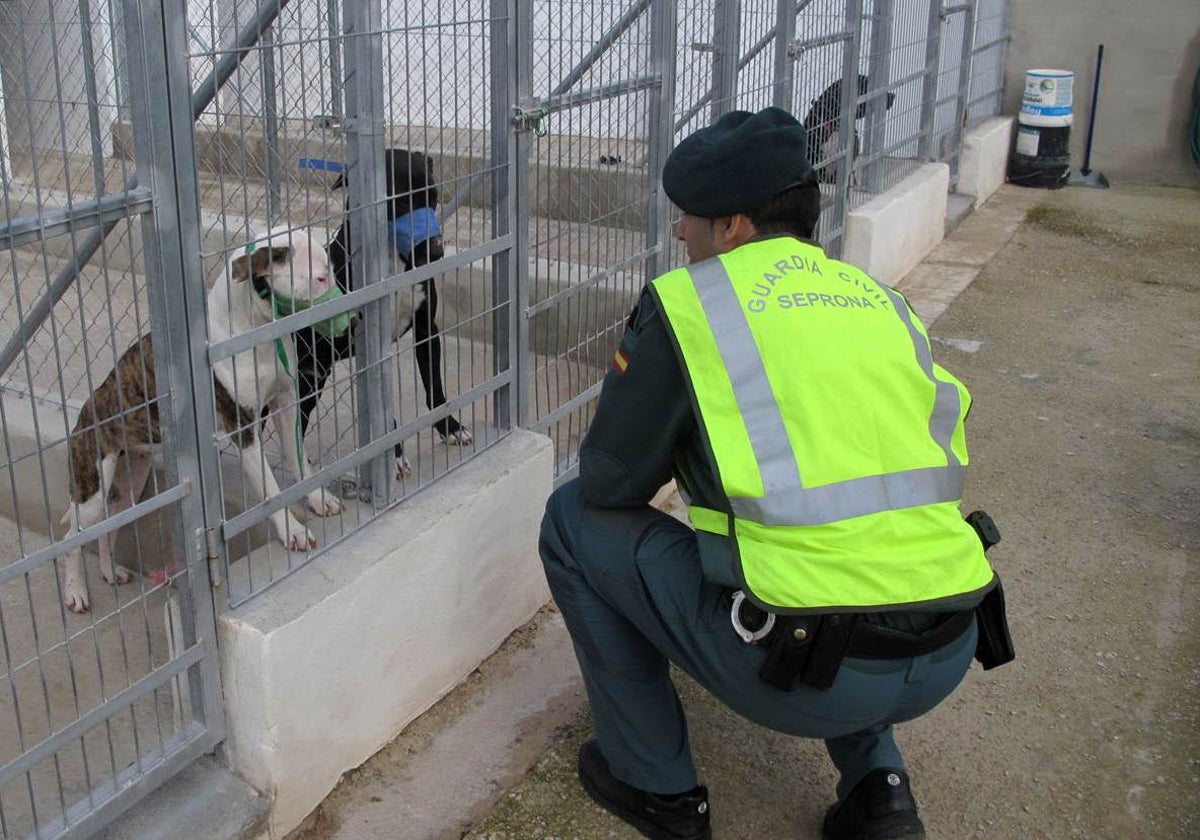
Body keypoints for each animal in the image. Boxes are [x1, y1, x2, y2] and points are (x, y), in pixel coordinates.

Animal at [62, 226, 343, 614]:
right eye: (320, 279)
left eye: (329, 269)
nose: (347, 310)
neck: (250, 326)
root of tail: (86, 413)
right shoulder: (244, 427)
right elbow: (270, 489)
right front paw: (293, 531)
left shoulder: (286, 405)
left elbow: (300, 463)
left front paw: (317, 497)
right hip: (93, 484)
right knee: (72, 537)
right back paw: (75, 591)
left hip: (131, 483)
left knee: (110, 525)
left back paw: (109, 570)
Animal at [292, 147, 470, 475]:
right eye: (399, 201)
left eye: (433, 196)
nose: (436, 251)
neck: (392, 261)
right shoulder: (371, 348)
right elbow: (385, 415)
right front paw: (395, 455)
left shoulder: (427, 329)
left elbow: (435, 388)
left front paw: (450, 427)